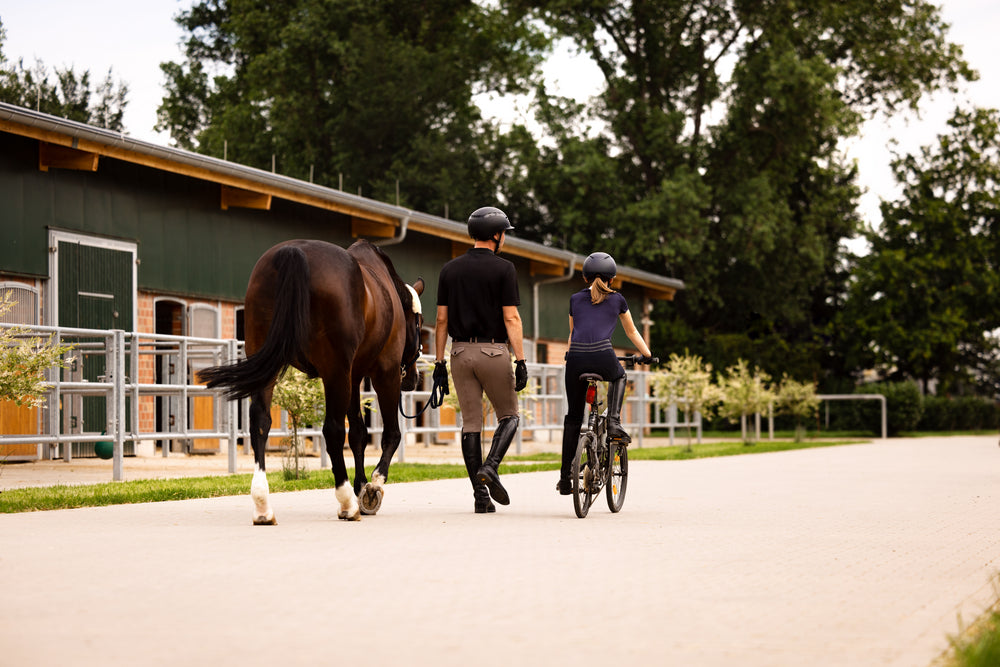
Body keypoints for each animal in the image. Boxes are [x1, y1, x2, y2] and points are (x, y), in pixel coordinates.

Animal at [201, 237, 424, 524]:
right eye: (418, 323)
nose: (414, 378)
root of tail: (294, 252)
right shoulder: (384, 373)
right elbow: (390, 435)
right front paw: (372, 488)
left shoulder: (353, 376)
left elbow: (359, 434)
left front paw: (361, 486)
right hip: (336, 371)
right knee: (333, 430)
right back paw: (346, 504)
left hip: (269, 360)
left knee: (260, 421)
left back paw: (263, 506)